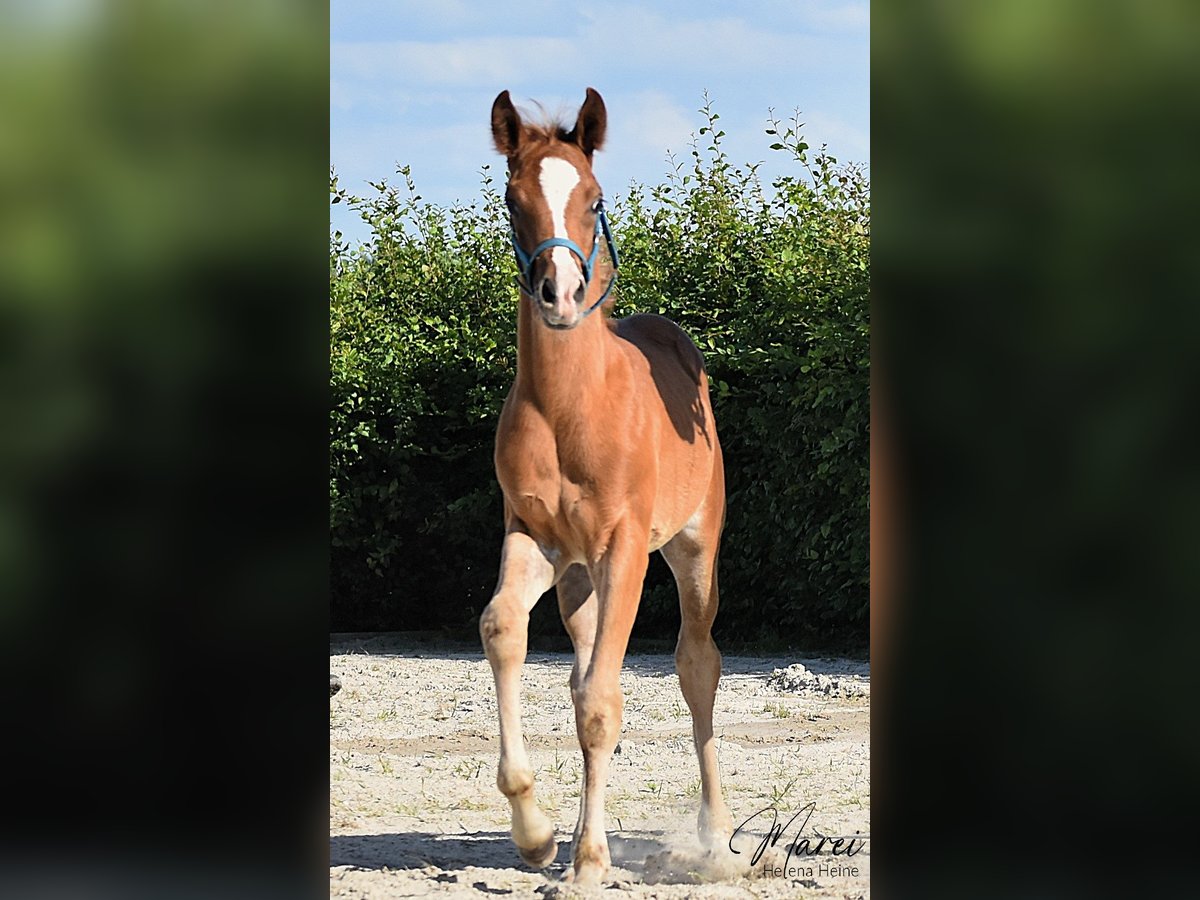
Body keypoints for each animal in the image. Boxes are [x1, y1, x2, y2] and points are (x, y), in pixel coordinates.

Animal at [479, 87, 733, 886]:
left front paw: (589, 862)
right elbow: (504, 631)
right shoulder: (533, 537)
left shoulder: (624, 550)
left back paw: (716, 834)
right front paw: (536, 834)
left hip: (692, 550)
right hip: (579, 577)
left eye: (593, 199)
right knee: (583, 667)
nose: (559, 294)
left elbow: (600, 702)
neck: (571, 409)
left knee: (696, 663)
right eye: (513, 198)